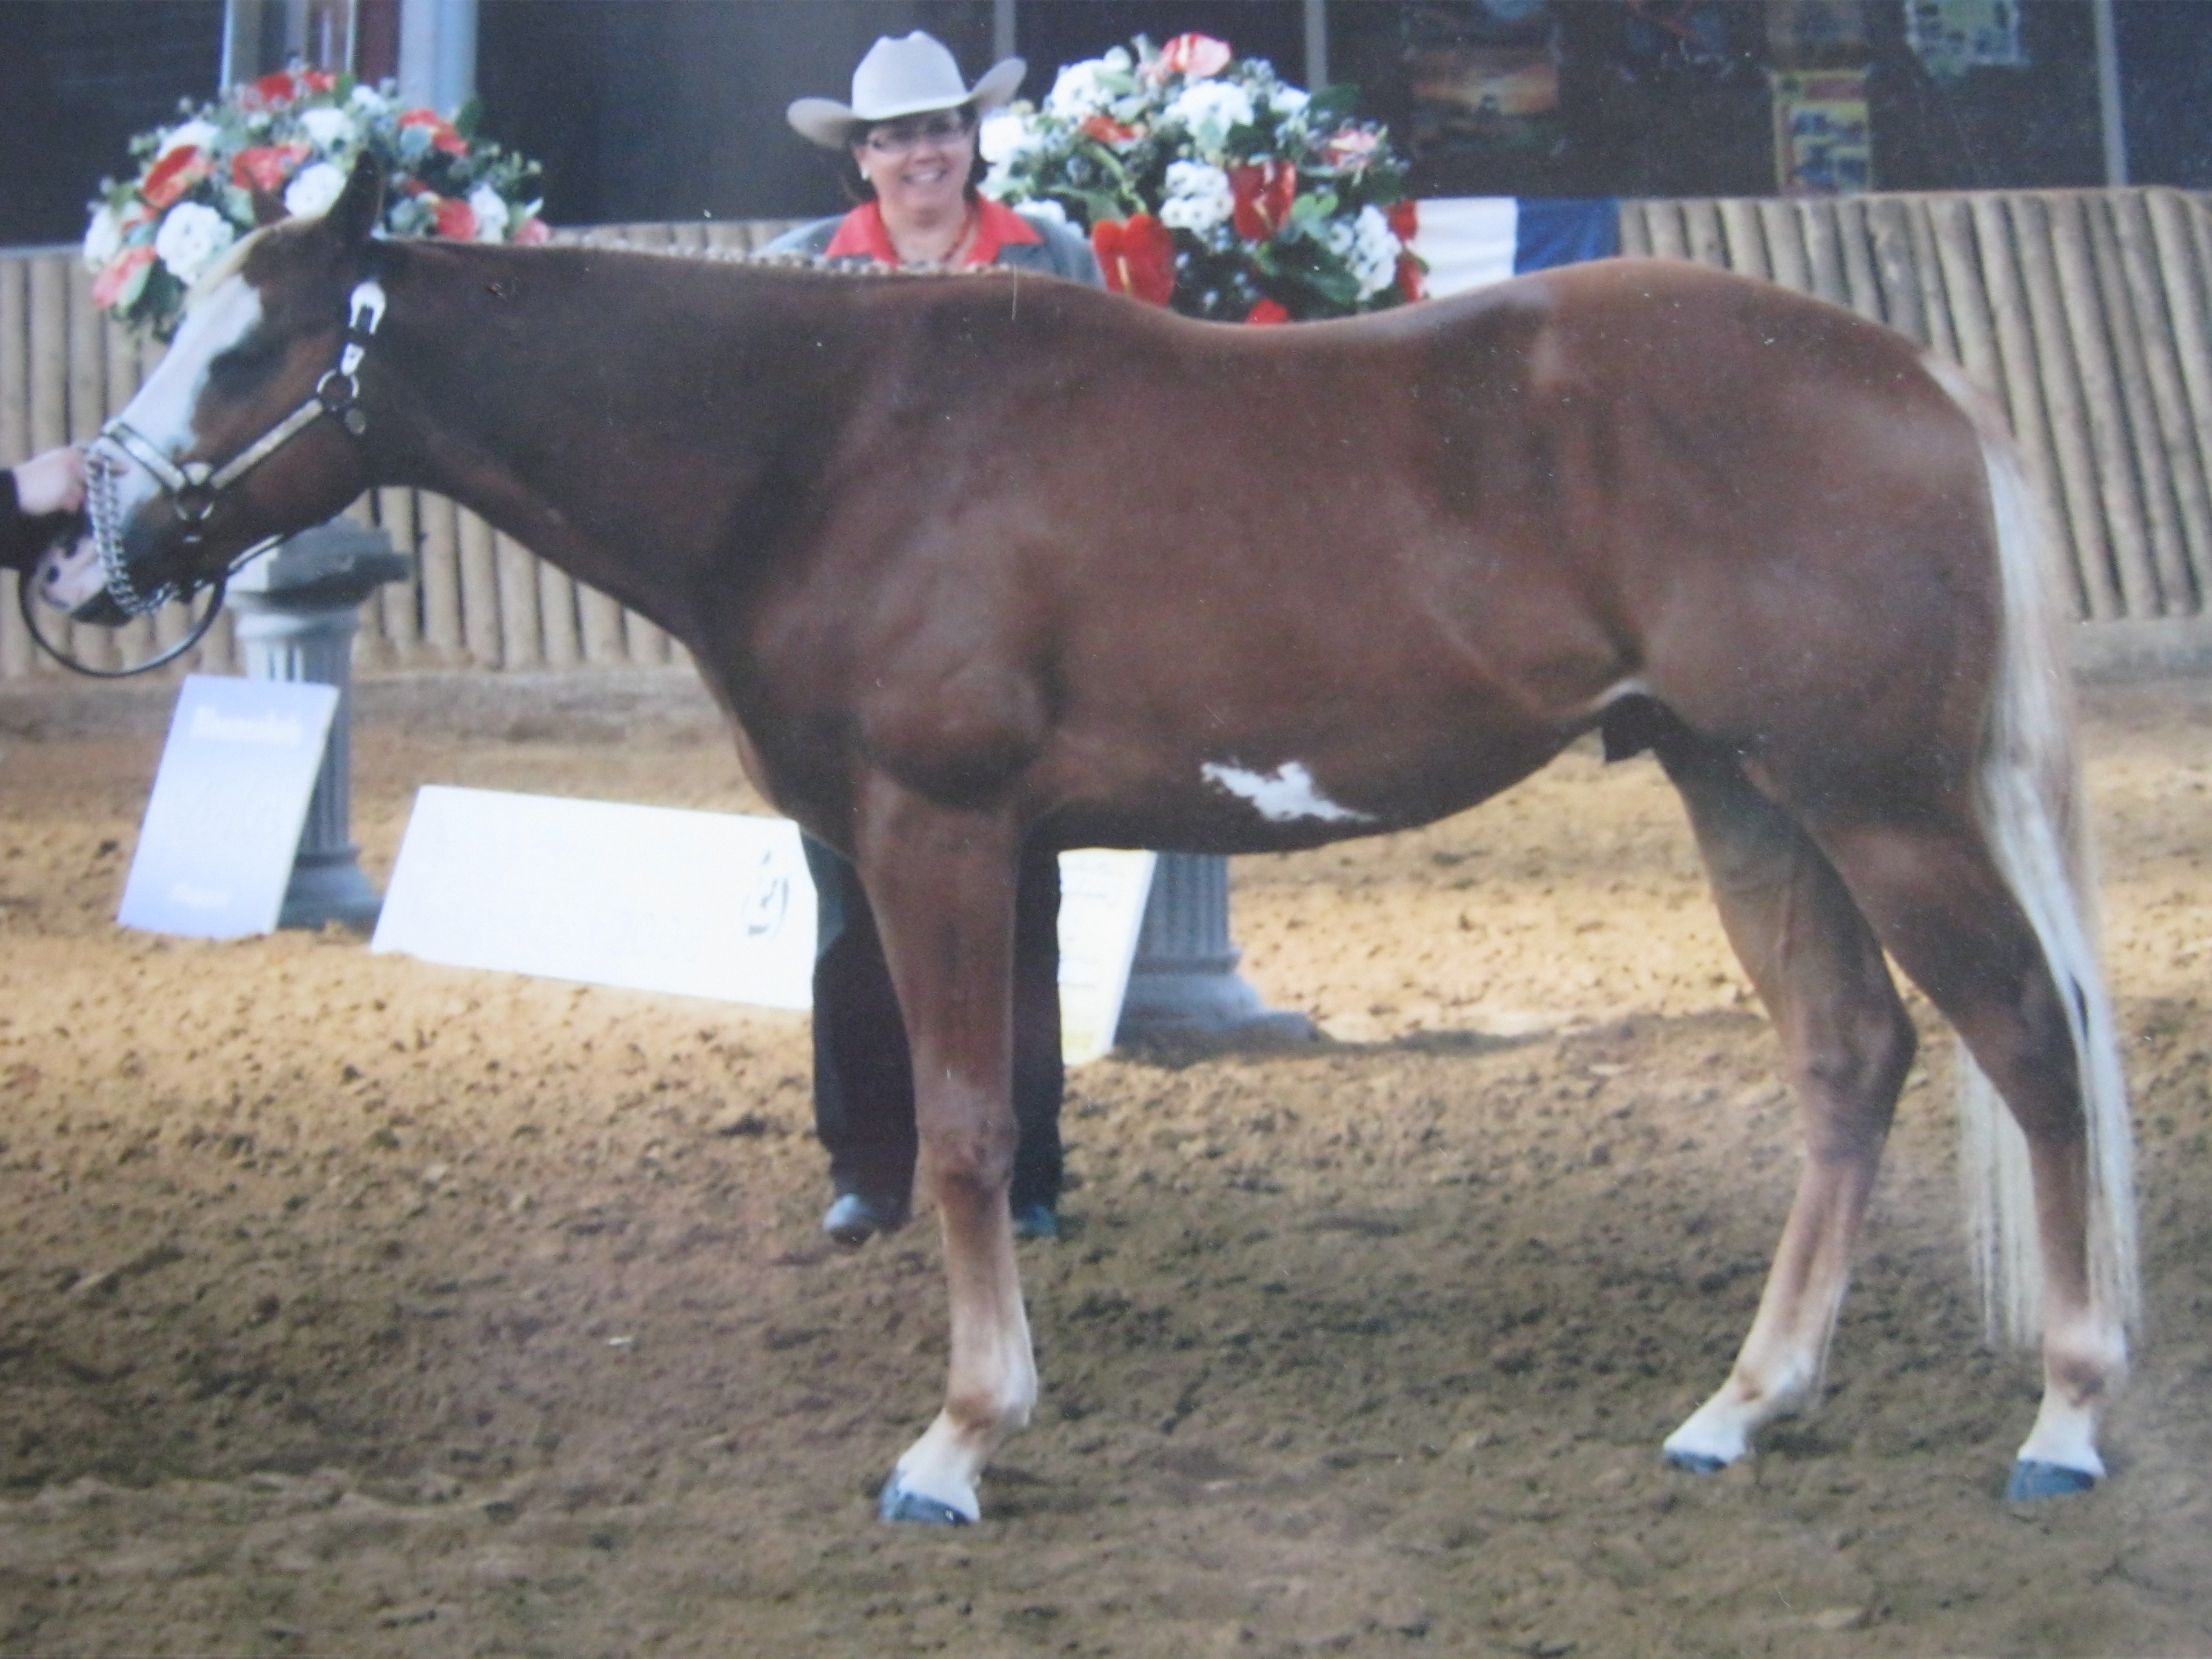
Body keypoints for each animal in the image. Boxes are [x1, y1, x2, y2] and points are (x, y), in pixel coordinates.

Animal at [64, 154, 2136, 1524]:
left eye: (244, 353)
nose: (85, 547)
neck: (823, 439)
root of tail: (1910, 377)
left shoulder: (942, 834)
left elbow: (967, 1135)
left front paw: (960, 1439)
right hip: (1744, 792)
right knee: (1851, 1061)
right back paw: (1745, 1407)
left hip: (1876, 803)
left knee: (2033, 1051)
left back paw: (2065, 1418)